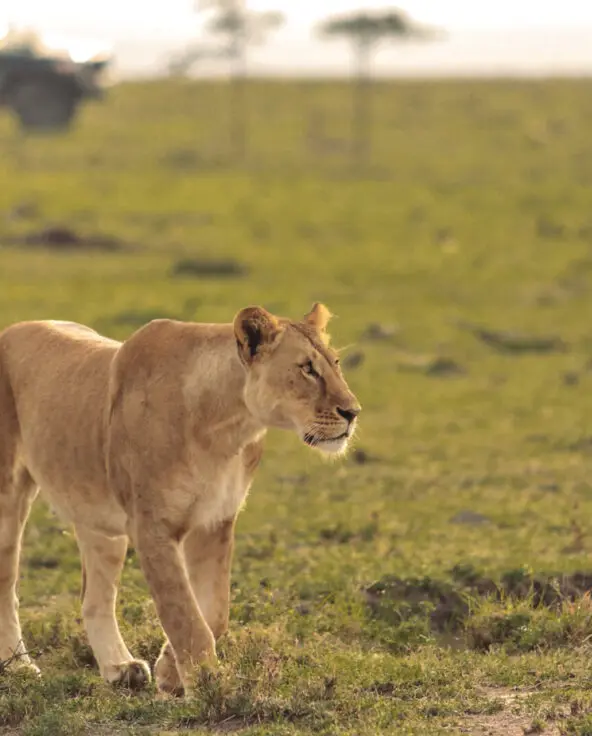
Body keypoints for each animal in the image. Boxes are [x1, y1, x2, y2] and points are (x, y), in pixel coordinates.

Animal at [0, 303, 360, 695]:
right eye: (307, 368)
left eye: (335, 363)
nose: (353, 412)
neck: (226, 428)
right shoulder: (151, 527)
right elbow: (183, 613)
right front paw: (210, 684)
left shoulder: (216, 520)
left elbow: (213, 612)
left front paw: (171, 671)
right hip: (9, 497)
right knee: (7, 586)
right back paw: (19, 668)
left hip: (98, 518)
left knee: (95, 599)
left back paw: (119, 668)